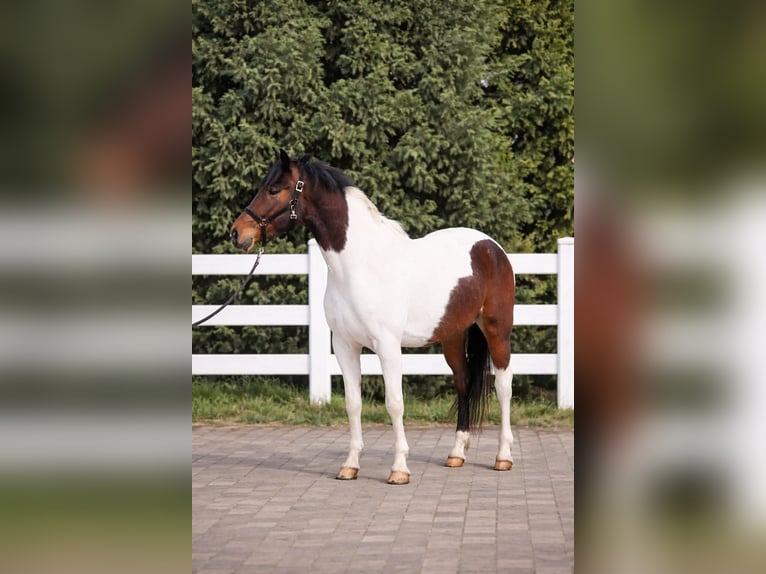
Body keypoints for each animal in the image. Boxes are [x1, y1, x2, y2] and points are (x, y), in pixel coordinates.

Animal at [230, 149, 515, 485]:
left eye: (274, 189)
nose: (237, 233)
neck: (359, 265)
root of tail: (490, 247)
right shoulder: (344, 345)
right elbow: (353, 404)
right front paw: (350, 465)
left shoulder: (388, 346)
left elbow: (394, 403)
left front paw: (400, 468)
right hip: (454, 336)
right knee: (464, 382)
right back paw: (456, 453)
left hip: (497, 330)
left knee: (503, 386)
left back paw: (503, 457)